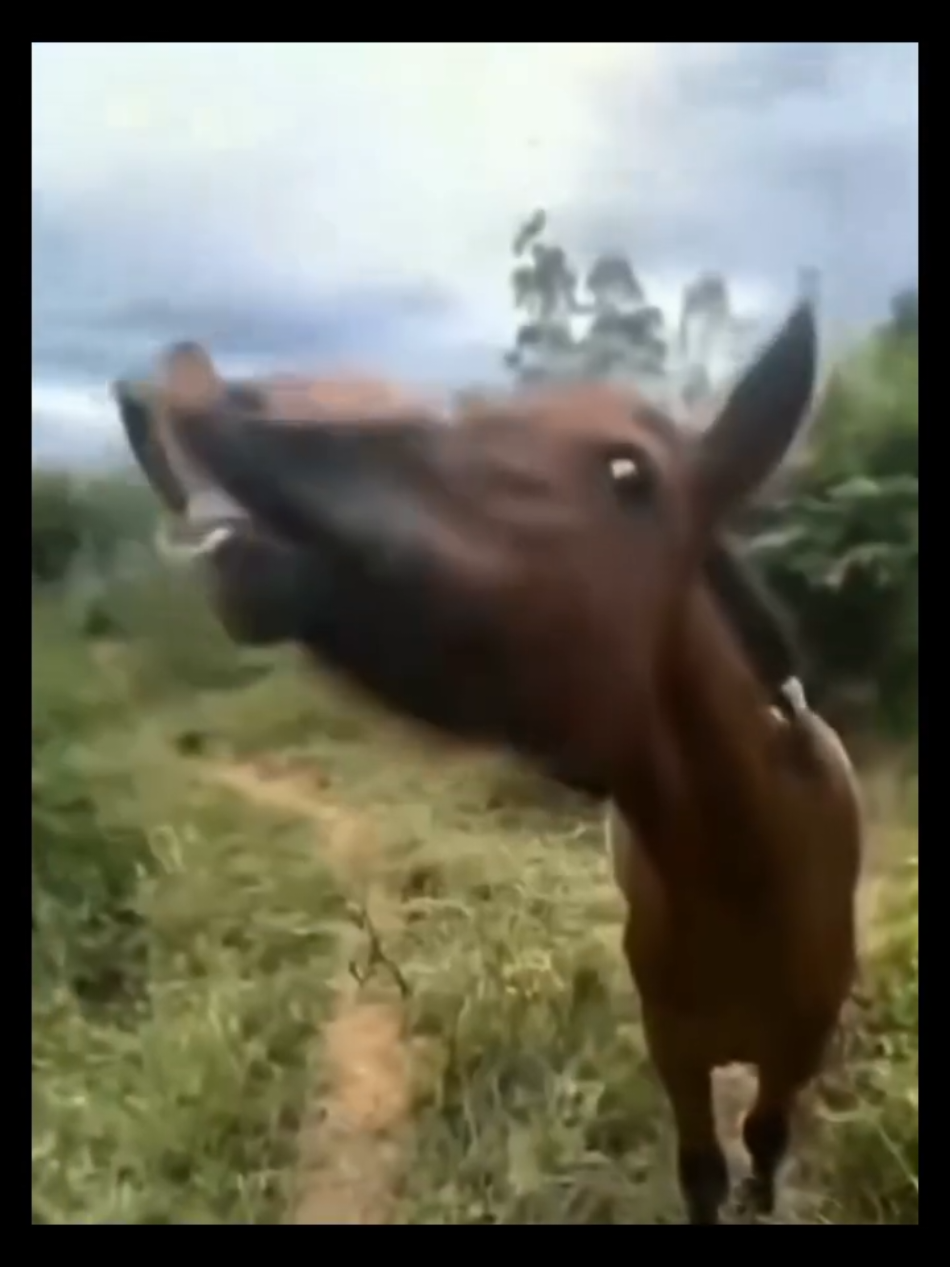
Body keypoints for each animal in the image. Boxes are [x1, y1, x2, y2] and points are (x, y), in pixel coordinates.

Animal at [113, 303, 862, 1224]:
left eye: (629, 470)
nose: (193, 393)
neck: (749, 874)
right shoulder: (676, 1051)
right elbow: (703, 1173)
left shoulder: (793, 1055)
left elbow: (761, 1153)